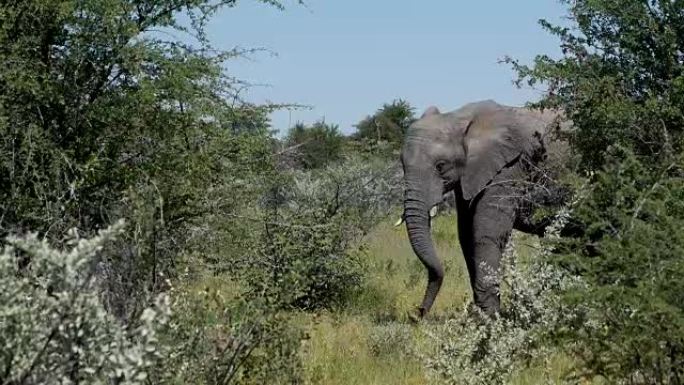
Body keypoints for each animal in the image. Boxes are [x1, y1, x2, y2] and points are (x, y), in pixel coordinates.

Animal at [396, 99, 568, 318]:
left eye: (440, 166)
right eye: (402, 165)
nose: (417, 314)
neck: (459, 119)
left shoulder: (510, 167)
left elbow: (485, 232)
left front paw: (489, 318)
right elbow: (466, 234)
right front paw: (484, 315)